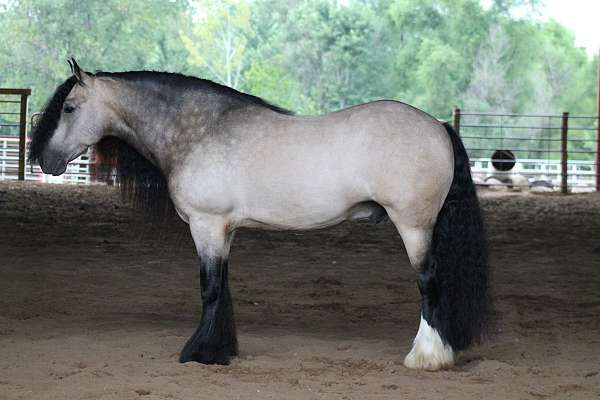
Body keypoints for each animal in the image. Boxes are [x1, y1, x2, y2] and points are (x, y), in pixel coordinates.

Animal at [28, 59, 490, 372]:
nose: (44, 161)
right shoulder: (224, 230)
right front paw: (222, 348)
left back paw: (427, 356)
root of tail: (438, 126)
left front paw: (199, 353)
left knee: (428, 283)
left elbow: (210, 288)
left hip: (414, 226)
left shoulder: (207, 225)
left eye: (69, 107)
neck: (202, 130)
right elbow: (224, 286)